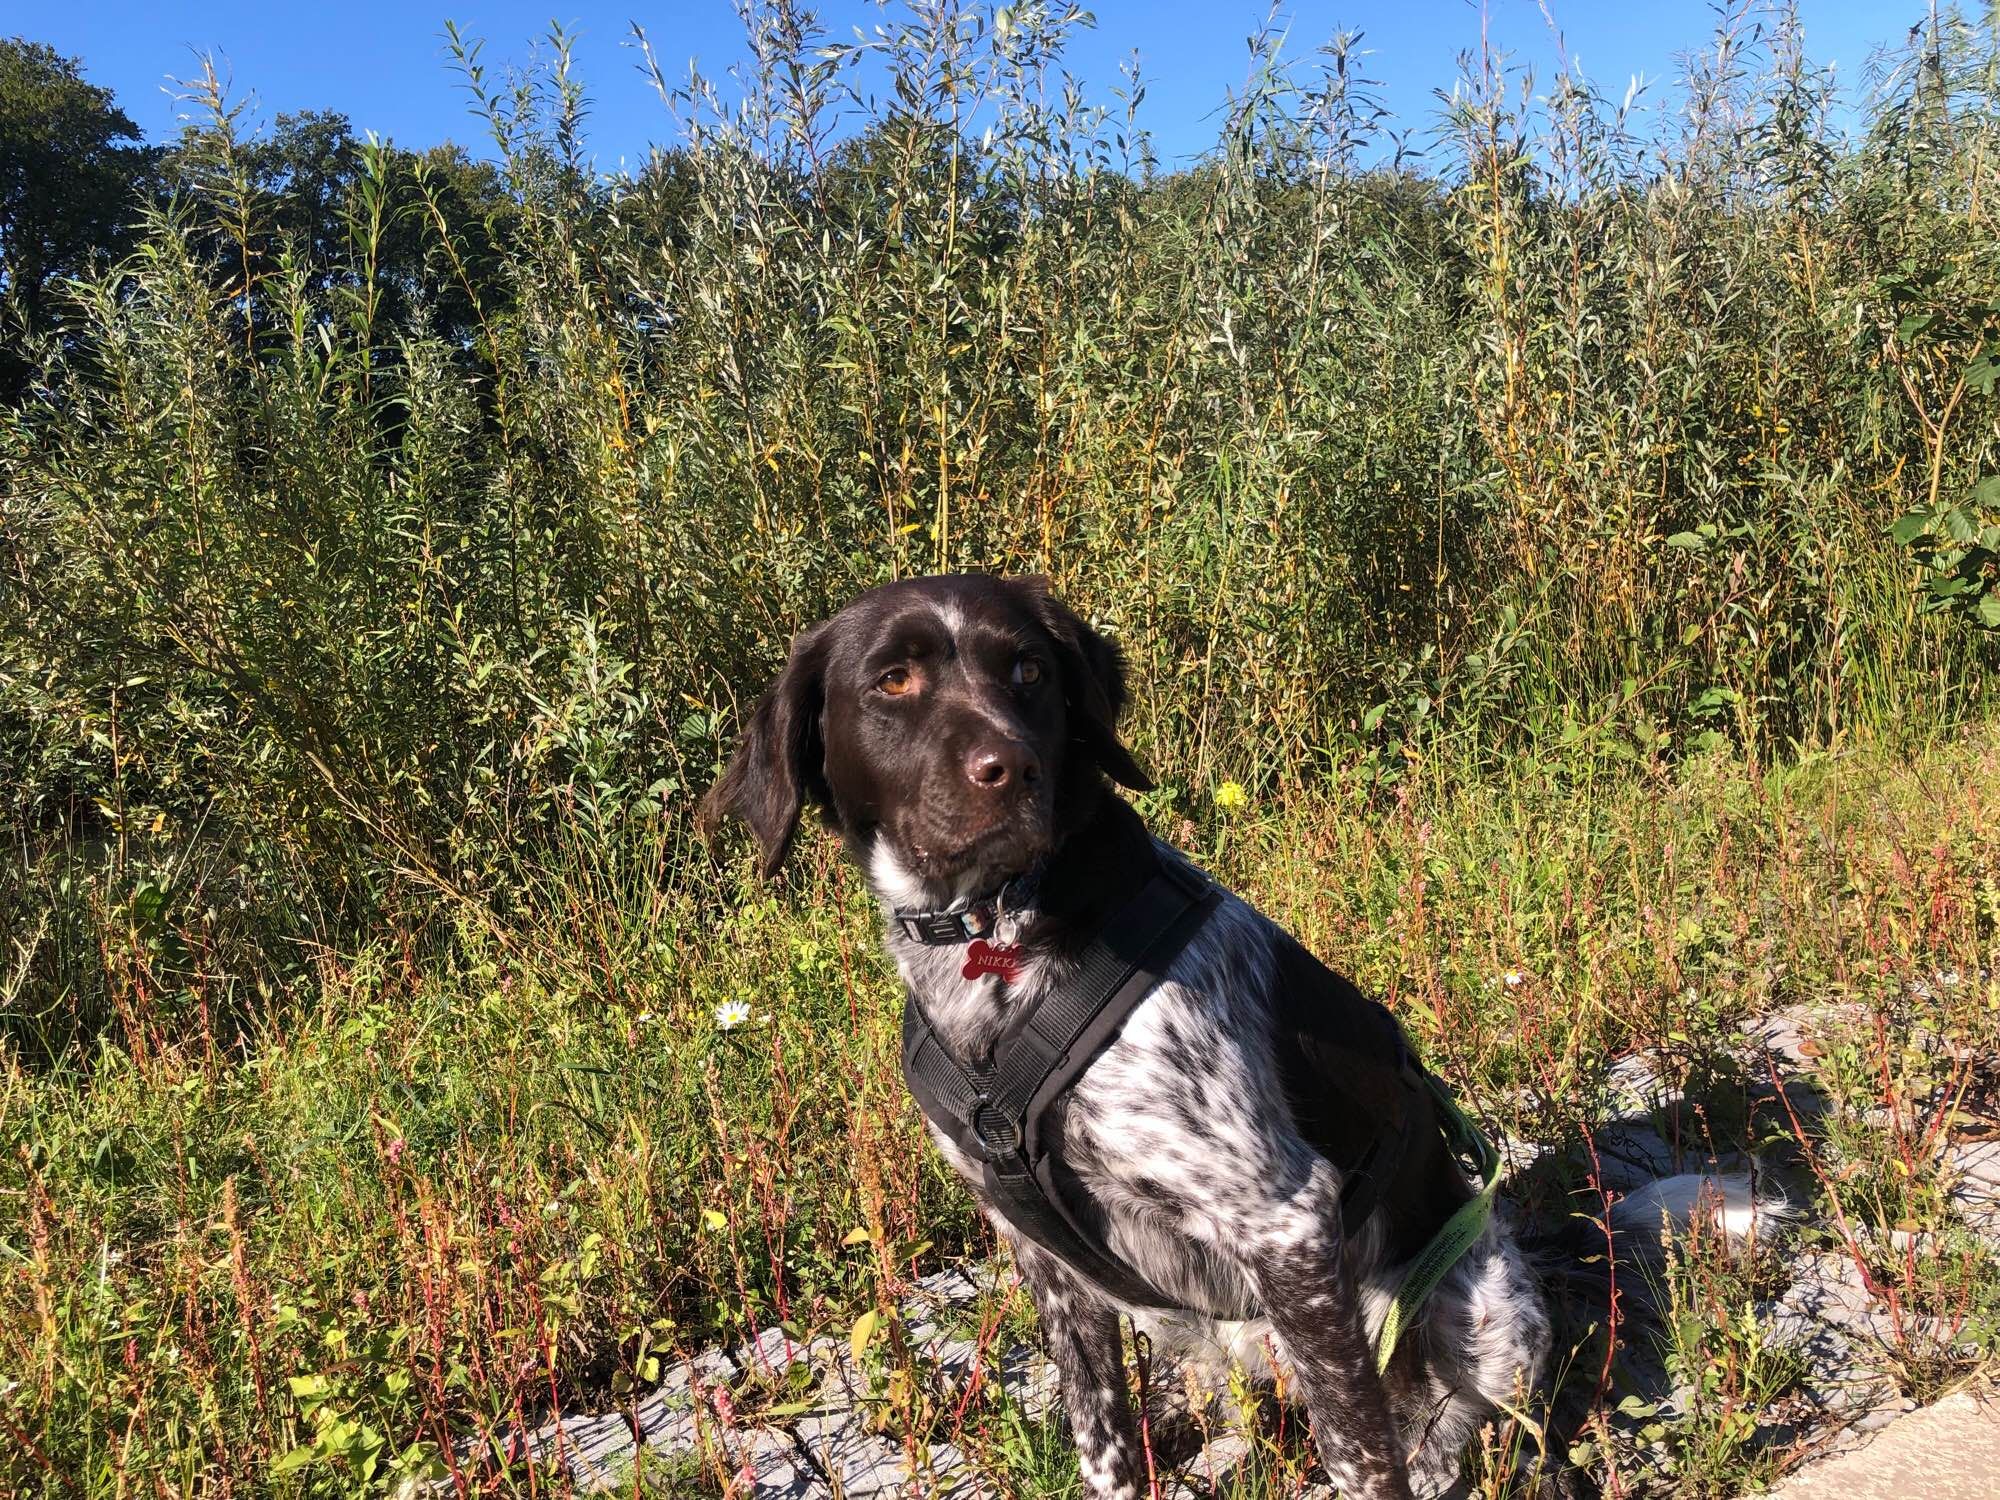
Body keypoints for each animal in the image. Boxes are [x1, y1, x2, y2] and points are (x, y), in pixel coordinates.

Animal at [704, 568, 1560, 1496]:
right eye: (893, 681)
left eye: (1030, 670)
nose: (1011, 769)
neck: (996, 929)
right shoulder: (1040, 1254)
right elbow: (1101, 1433)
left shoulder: (1285, 1218)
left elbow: (1359, 1456)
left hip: (1485, 1309)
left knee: (1454, 1421)